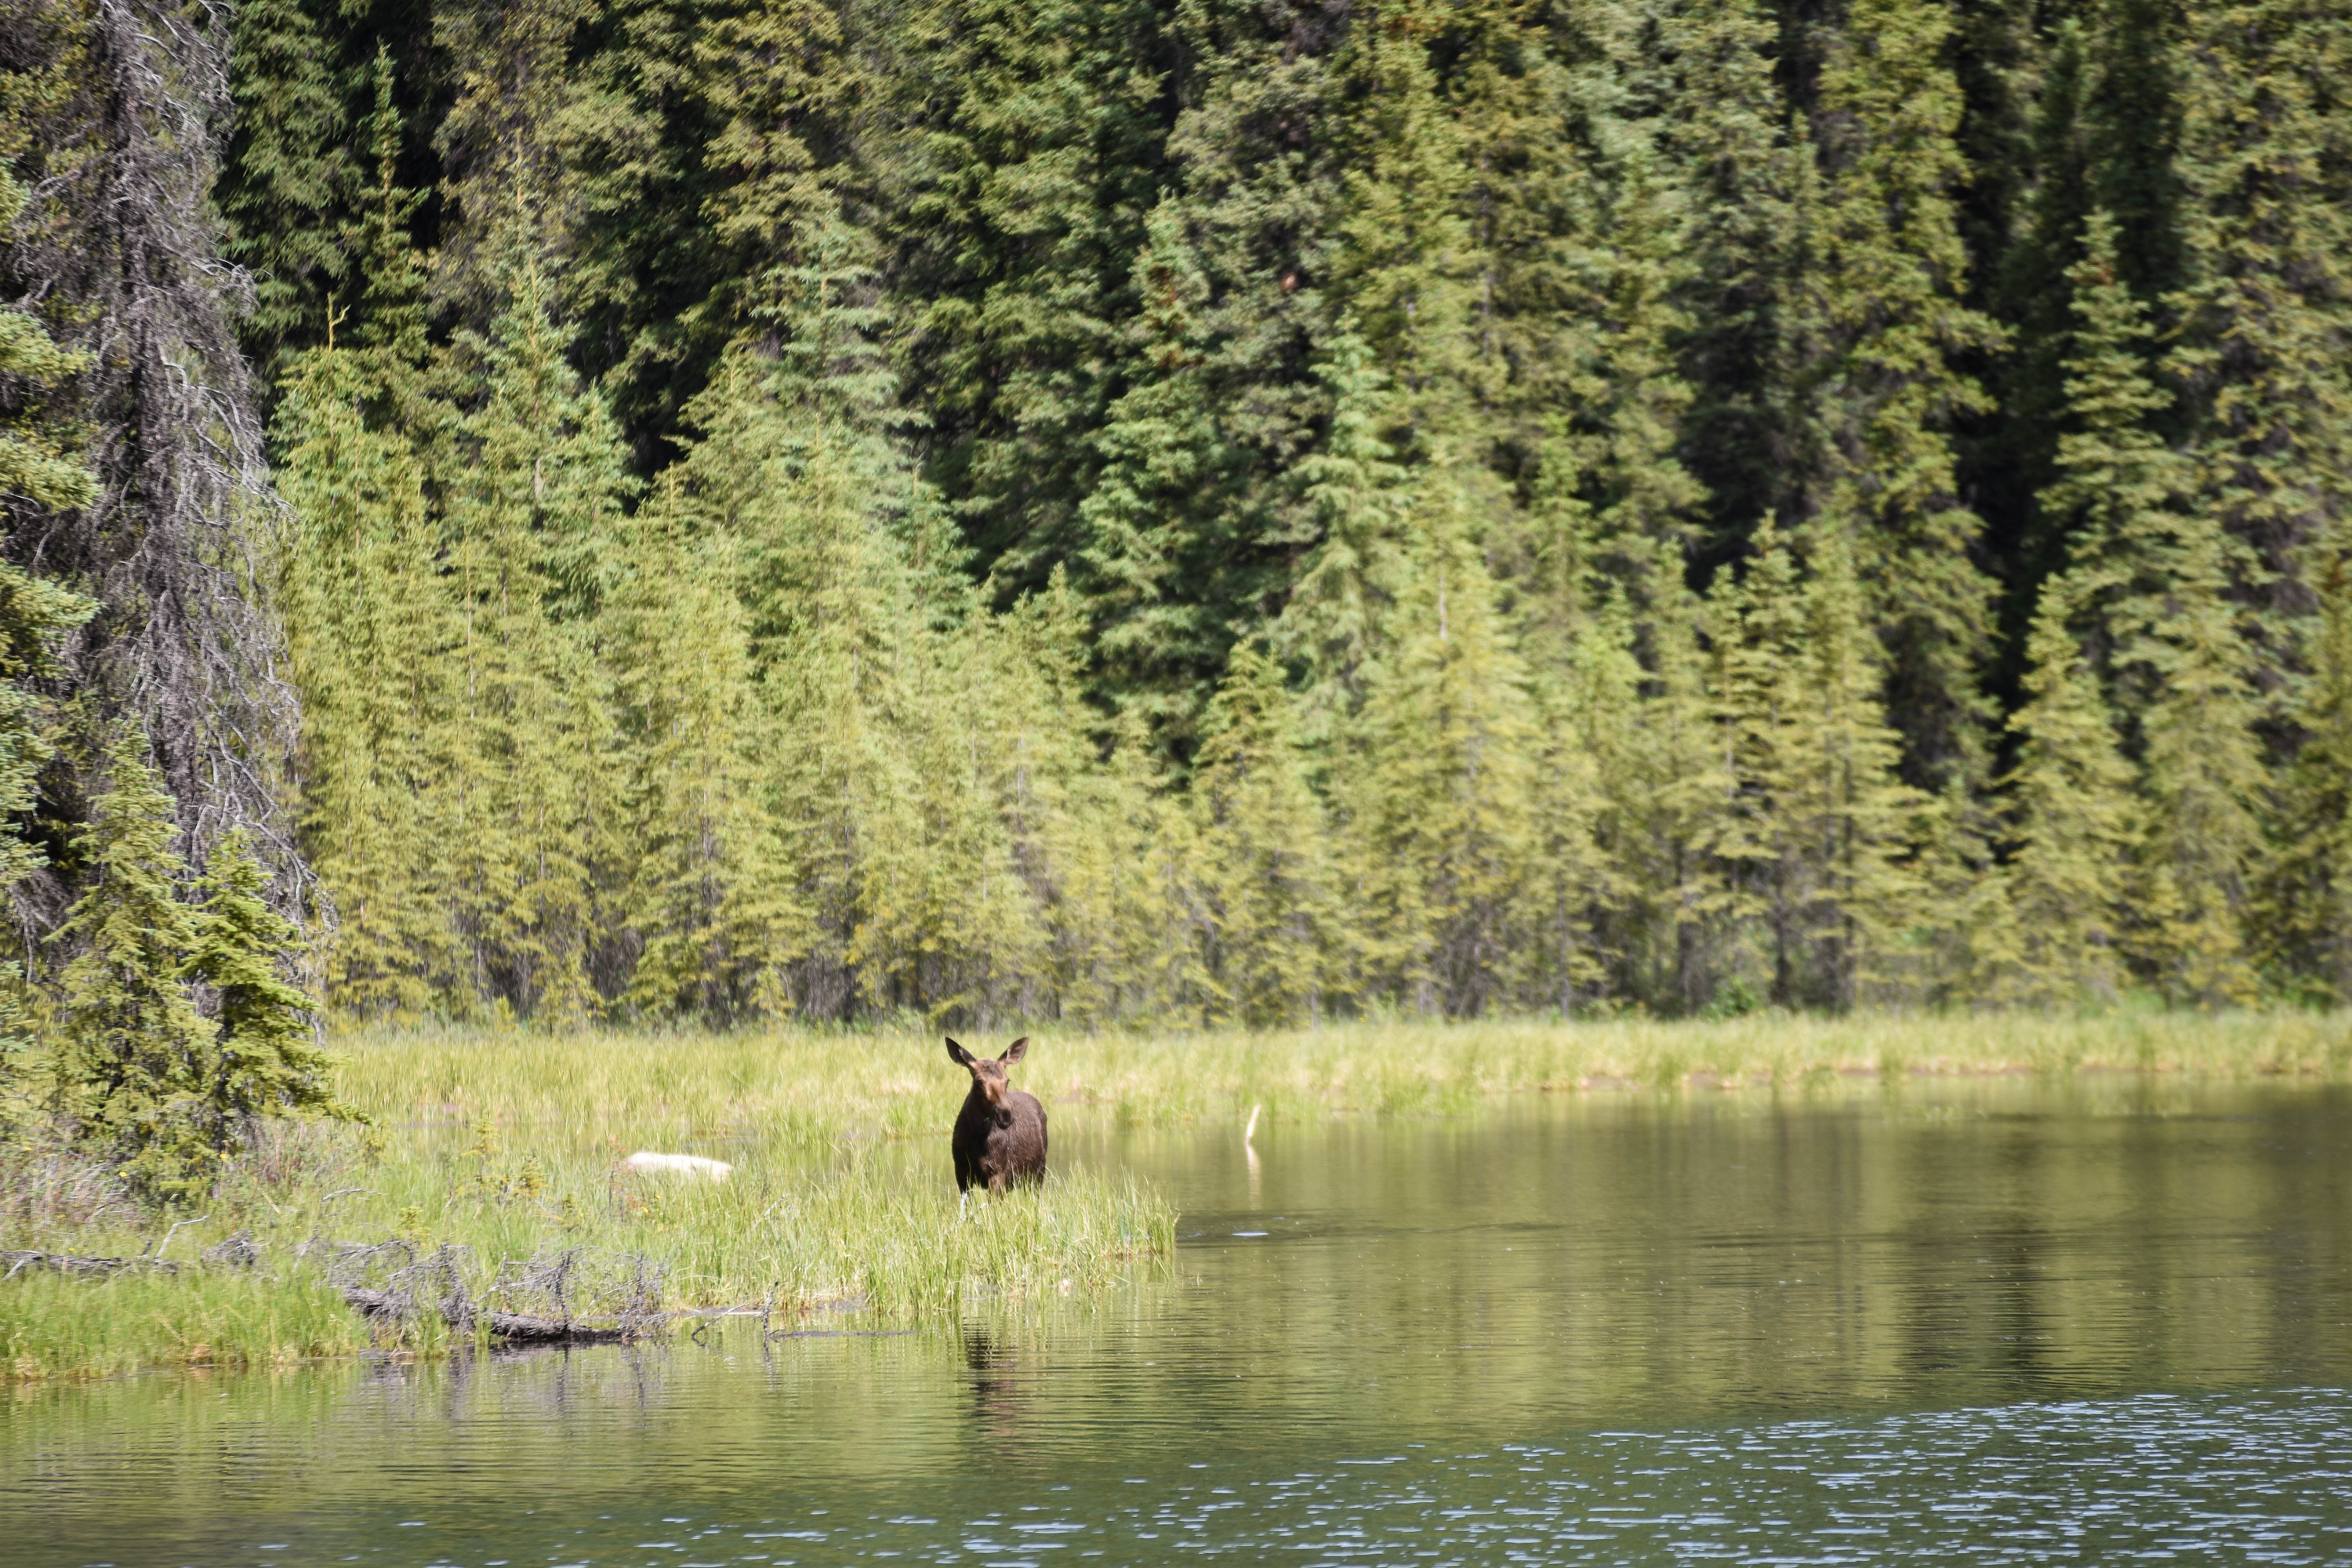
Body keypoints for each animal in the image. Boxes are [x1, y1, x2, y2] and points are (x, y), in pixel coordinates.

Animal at [946, 1036, 1047, 1192]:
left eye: (1007, 1080)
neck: (975, 1137)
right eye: (979, 1081)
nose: (1005, 1114)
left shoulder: (997, 1172)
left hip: (1038, 1172)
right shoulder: (961, 1171)